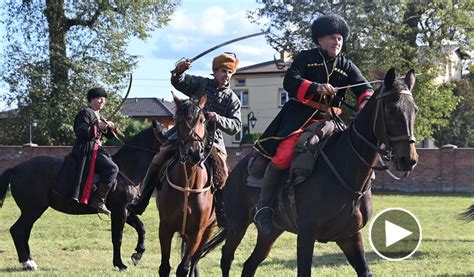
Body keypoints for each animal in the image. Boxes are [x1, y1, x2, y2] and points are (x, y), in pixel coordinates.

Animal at [0, 119, 167, 270]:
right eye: (164, 133)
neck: (126, 168)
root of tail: (17, 168)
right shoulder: (119, 211)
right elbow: (117, 238)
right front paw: (119, 264)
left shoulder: (126, 211)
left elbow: (141, 228)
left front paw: (138, 253)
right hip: (33, 210)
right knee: (17, 231)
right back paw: (27, 263)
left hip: (32, 211)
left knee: (24, 232)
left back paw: (30, 262)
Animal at [157, 93, 217, 276]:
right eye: (179, 120)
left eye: (202, 120)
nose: (194, 153)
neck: (188, 184)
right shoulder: (165, 227)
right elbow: (165, 267)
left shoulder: (197, 232)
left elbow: (183, 267)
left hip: (208, 230)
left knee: (194, 260)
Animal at [199, 68, 418, 274]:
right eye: (391, 108)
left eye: (414, 109)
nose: (408, 159)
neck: (346, 171)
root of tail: (235, 170)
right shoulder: (306, 235)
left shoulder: (349, 236)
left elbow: (365, 270)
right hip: (237, 225)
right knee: (226, 259)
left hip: (270, 232)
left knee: (249, 265)